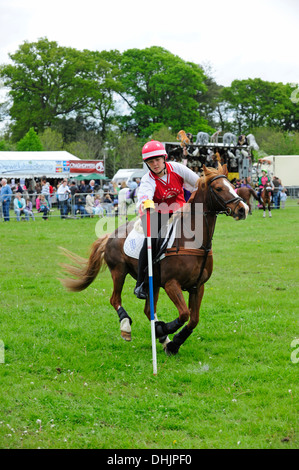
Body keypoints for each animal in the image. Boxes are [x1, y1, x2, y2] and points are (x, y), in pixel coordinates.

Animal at [60, 164, 248, 356]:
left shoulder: (198, 286)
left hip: (153, 282)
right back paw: (127, 326)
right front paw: (164, 330)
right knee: (115, 300)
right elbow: (184, 314)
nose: (243, 209)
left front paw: (173, 342)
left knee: (149, 309)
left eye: (231, 185)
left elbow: (193, 319)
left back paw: (164, 340)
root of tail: (110, 235)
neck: (193, 241)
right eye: (218, 188)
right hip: (119, 272)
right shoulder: (172, 284)